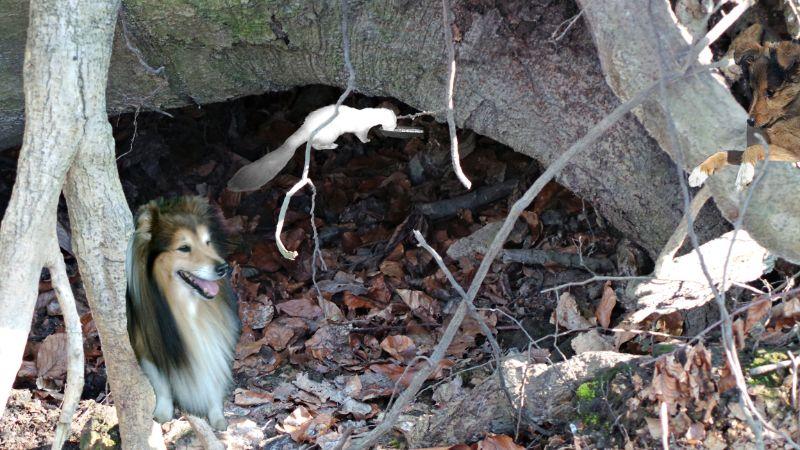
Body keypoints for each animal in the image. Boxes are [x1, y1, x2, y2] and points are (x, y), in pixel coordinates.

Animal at [124, 195, 238, 430]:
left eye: (207, 242)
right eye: (184, 248)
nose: (223, 268)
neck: (186, 307)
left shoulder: (212, 341)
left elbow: (211, 376)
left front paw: (217, 416)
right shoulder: (147, 348)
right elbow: (162, 384)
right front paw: (163, 412)